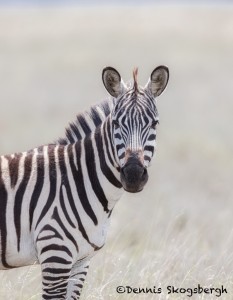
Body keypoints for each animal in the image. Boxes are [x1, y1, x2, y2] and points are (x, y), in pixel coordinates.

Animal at [0, 65, 168, 298]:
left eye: (154, 123)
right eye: (116, 123)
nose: (133, 175)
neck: (78, 180)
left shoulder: (80, 262)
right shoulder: (55, 252)